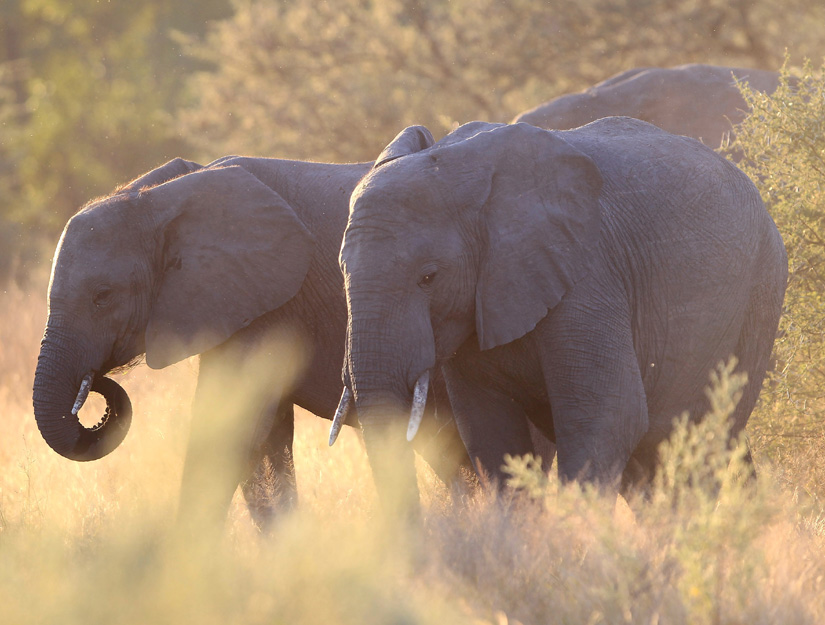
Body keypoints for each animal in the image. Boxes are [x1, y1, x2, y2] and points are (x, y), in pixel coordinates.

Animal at [32, 155, 470, 530]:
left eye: (102, 296)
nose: (96, 384)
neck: (161, 194)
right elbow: (264, 433)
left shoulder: (269, 304)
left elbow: (234, 429)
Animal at [335, 118, 787, 509]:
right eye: (341, 270)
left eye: (428, 277)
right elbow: (487, 430)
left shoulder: (589, 275)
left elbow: (609, 416)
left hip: (760, 295)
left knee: (704, 441)